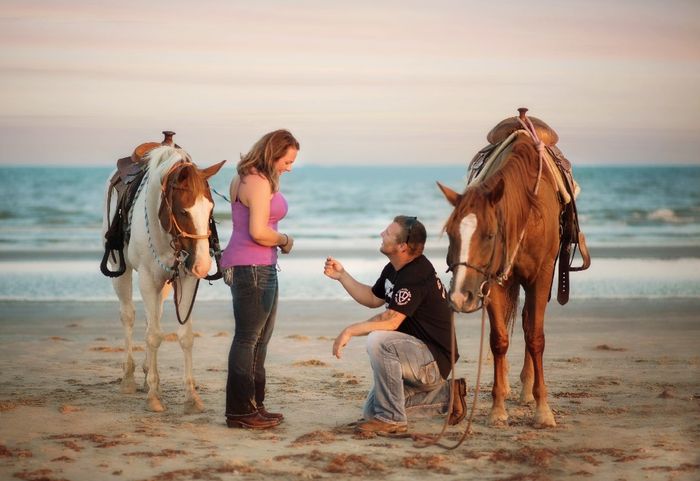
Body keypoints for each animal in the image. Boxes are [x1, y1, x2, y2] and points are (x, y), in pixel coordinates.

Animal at [102, 146, 224, 412]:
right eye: (183, 210)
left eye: (210, 210)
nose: (203, 266)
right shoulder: (148, 279)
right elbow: (154, 336)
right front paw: (154, 396)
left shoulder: (186, 278)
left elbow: (184, 337)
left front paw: (191, 396)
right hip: (120, 270)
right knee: (129, 316)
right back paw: (129, 378)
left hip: (166, 283)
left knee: (153, 316)